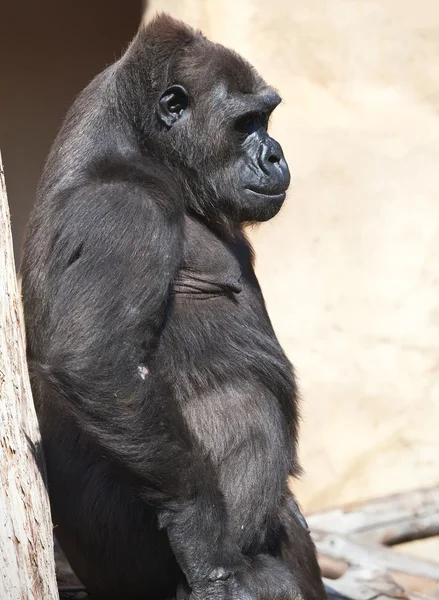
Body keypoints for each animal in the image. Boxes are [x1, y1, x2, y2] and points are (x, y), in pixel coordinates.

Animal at [21, 12, 330, 600]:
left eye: (266, 118)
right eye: (245, 123)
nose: (275, 153)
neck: (144, 142)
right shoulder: (120, 210)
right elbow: (96, 364)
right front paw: (203, 538)